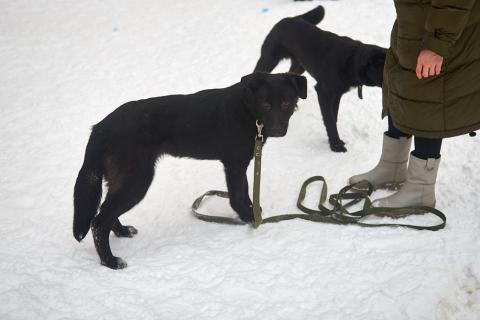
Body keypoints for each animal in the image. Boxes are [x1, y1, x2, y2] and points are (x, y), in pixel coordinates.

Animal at [74, 72, 308, 268]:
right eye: (266, 104)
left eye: (286, 103)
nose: (277, 130)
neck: (247, 109)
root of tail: (100, 128)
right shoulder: (234, 164)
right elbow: (238, 197)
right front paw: (250, 219)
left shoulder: (241, 164)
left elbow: (246, 193)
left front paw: (253, 214)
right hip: (137, 180)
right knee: (98, 221)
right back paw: (111, 262)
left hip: (121, 179)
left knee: (106, 211)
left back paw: (122, 232)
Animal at [255, 5, 386, 152]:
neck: (352, 61)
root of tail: (290, 18)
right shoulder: (324, 92)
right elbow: (329, 120)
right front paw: (336, 145)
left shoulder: (337, 94)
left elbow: (333, 117)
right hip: (269, 59)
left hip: (299, 65)